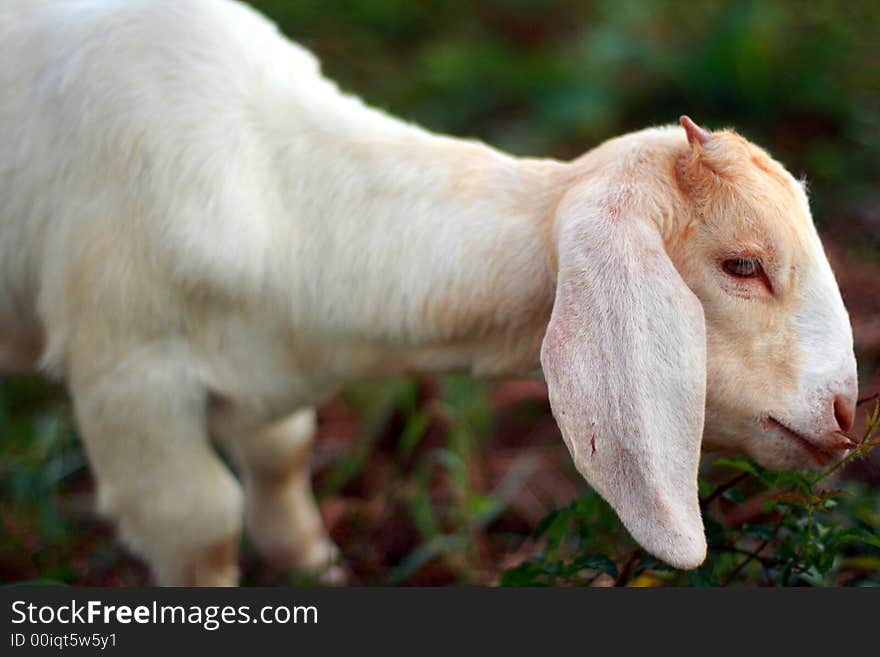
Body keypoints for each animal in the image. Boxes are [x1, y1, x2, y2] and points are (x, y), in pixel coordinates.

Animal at [0, 0, 860, 584]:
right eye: (742, 265)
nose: (847, 410)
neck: (279, 197)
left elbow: (281, 456)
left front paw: (318, 568)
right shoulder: (131, 379)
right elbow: (198, 521)